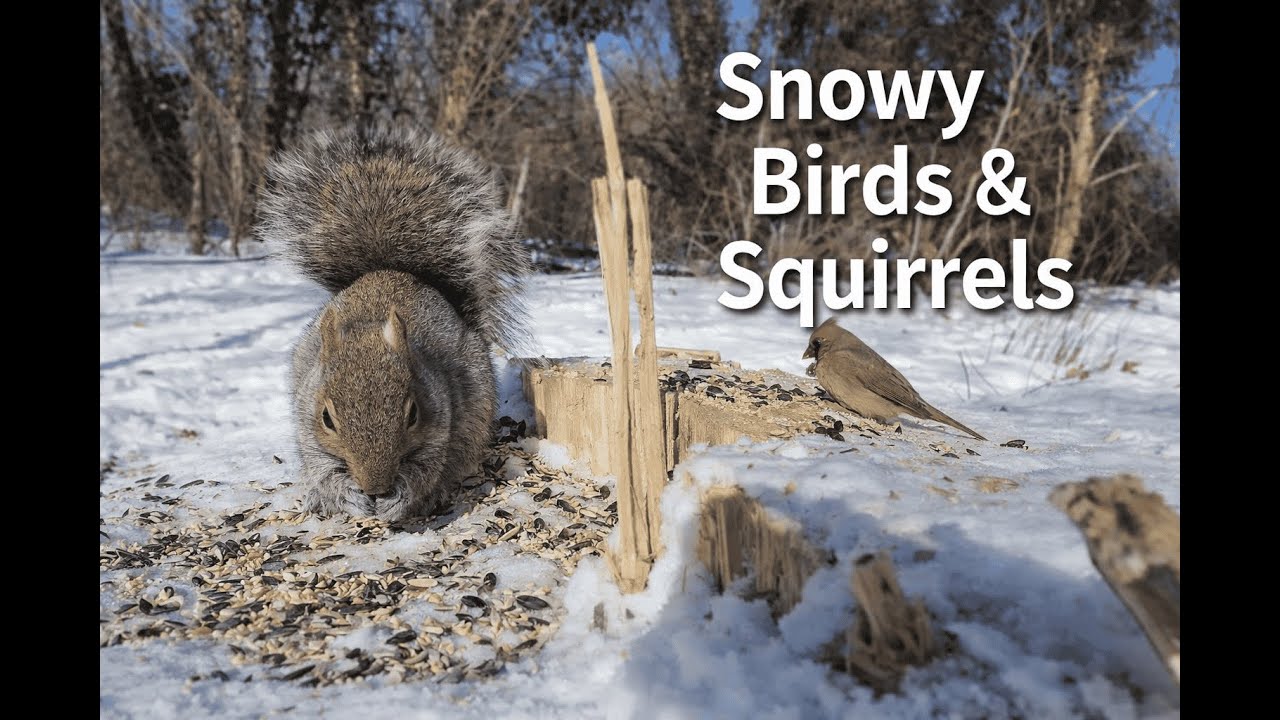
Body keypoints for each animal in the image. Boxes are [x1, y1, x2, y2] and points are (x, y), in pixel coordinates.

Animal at [256, 125, 530, 521]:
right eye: (326, 418)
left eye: (413, 413)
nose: (376, 488)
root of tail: (388, 270)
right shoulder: (309, 427)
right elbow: (324, 469)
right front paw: (347, 495)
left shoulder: (439, 424)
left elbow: (425, 469)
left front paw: (400, 497)